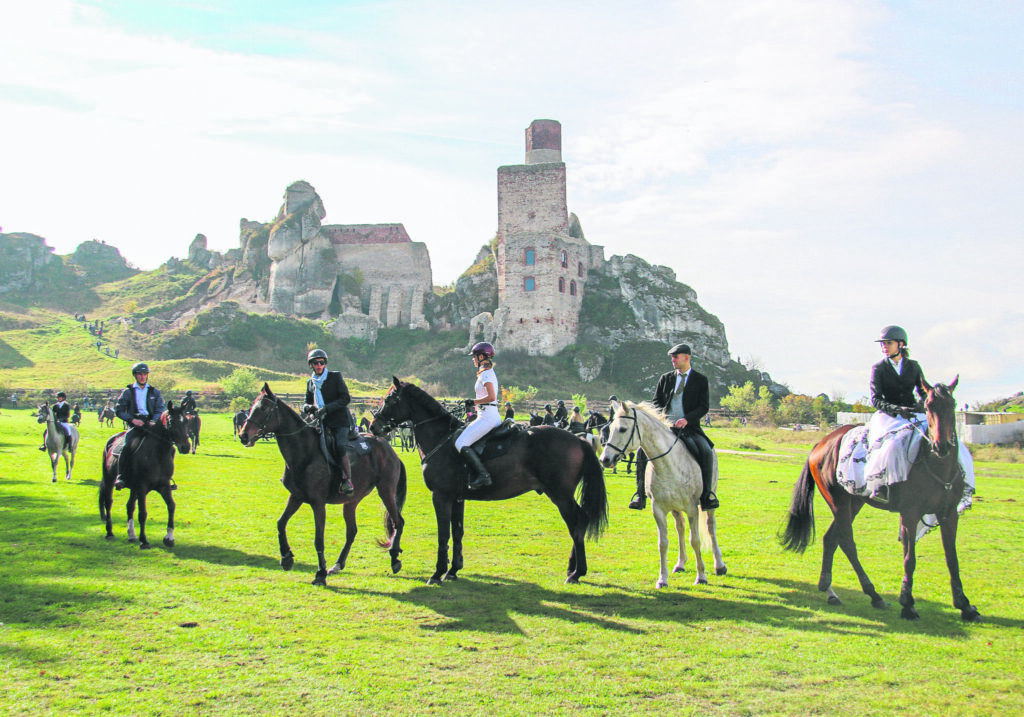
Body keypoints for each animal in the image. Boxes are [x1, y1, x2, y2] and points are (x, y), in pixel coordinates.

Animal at [98, 403, 191, 549]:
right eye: (171, 422)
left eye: (186, 421)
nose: (185, 447)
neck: (158, 454)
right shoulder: (142, 487)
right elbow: (143, 513)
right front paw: (144, 540)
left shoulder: (164, 486)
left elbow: (171, 506)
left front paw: (169, 538)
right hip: (109, 479)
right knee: (108, 502)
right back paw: (110, 532)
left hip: (133, 488)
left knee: (130, 506)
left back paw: (131, 535)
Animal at [239, 383, 407, 585]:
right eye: (251, 407)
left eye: (263, 408)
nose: (243, 435)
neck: (305, 453)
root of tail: (390, 451)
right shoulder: (296, 497)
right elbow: (280, 523)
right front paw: (286, 558)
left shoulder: (318, 503)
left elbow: (319, 539)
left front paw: (320, 573)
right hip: (351, 501)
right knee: (352, 531)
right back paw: (338, 564)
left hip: (386, 491)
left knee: (398, 522)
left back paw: (395, 559)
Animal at [370, 378, 602, 585]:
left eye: (389, 399)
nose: (373, 426)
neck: (441, 437)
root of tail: (578, 439)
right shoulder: (457, 498)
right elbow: (457, 532)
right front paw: (453, 570)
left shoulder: (441, 496)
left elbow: (443, 534)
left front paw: (437, 573)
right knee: (579, 523)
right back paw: (573, 569)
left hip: (561, 495)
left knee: (577, 524)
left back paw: (576, 573)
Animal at [598, 397, 729, 589]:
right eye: (609, 428)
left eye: (622, 429)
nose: (605, 460)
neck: (668, 463)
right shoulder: (658, 509)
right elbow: (663, 543)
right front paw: (662, 579)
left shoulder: (692, 509)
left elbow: (695, 540)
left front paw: (701, 577)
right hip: (674, 508)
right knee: (680, 528)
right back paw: (680, 564)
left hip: (707, 503)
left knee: (710, 527)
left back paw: (719, 566)